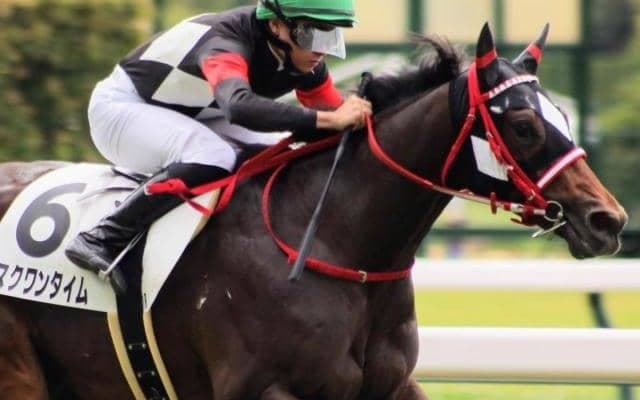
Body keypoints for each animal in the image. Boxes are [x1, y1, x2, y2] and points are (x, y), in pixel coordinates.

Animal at [0, 23, 627, 400]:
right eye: (522, 125)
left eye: (563, 117)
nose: (608, 220)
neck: (338, 243)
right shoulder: (265, 389)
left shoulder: (394, 386)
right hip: (21, 373)